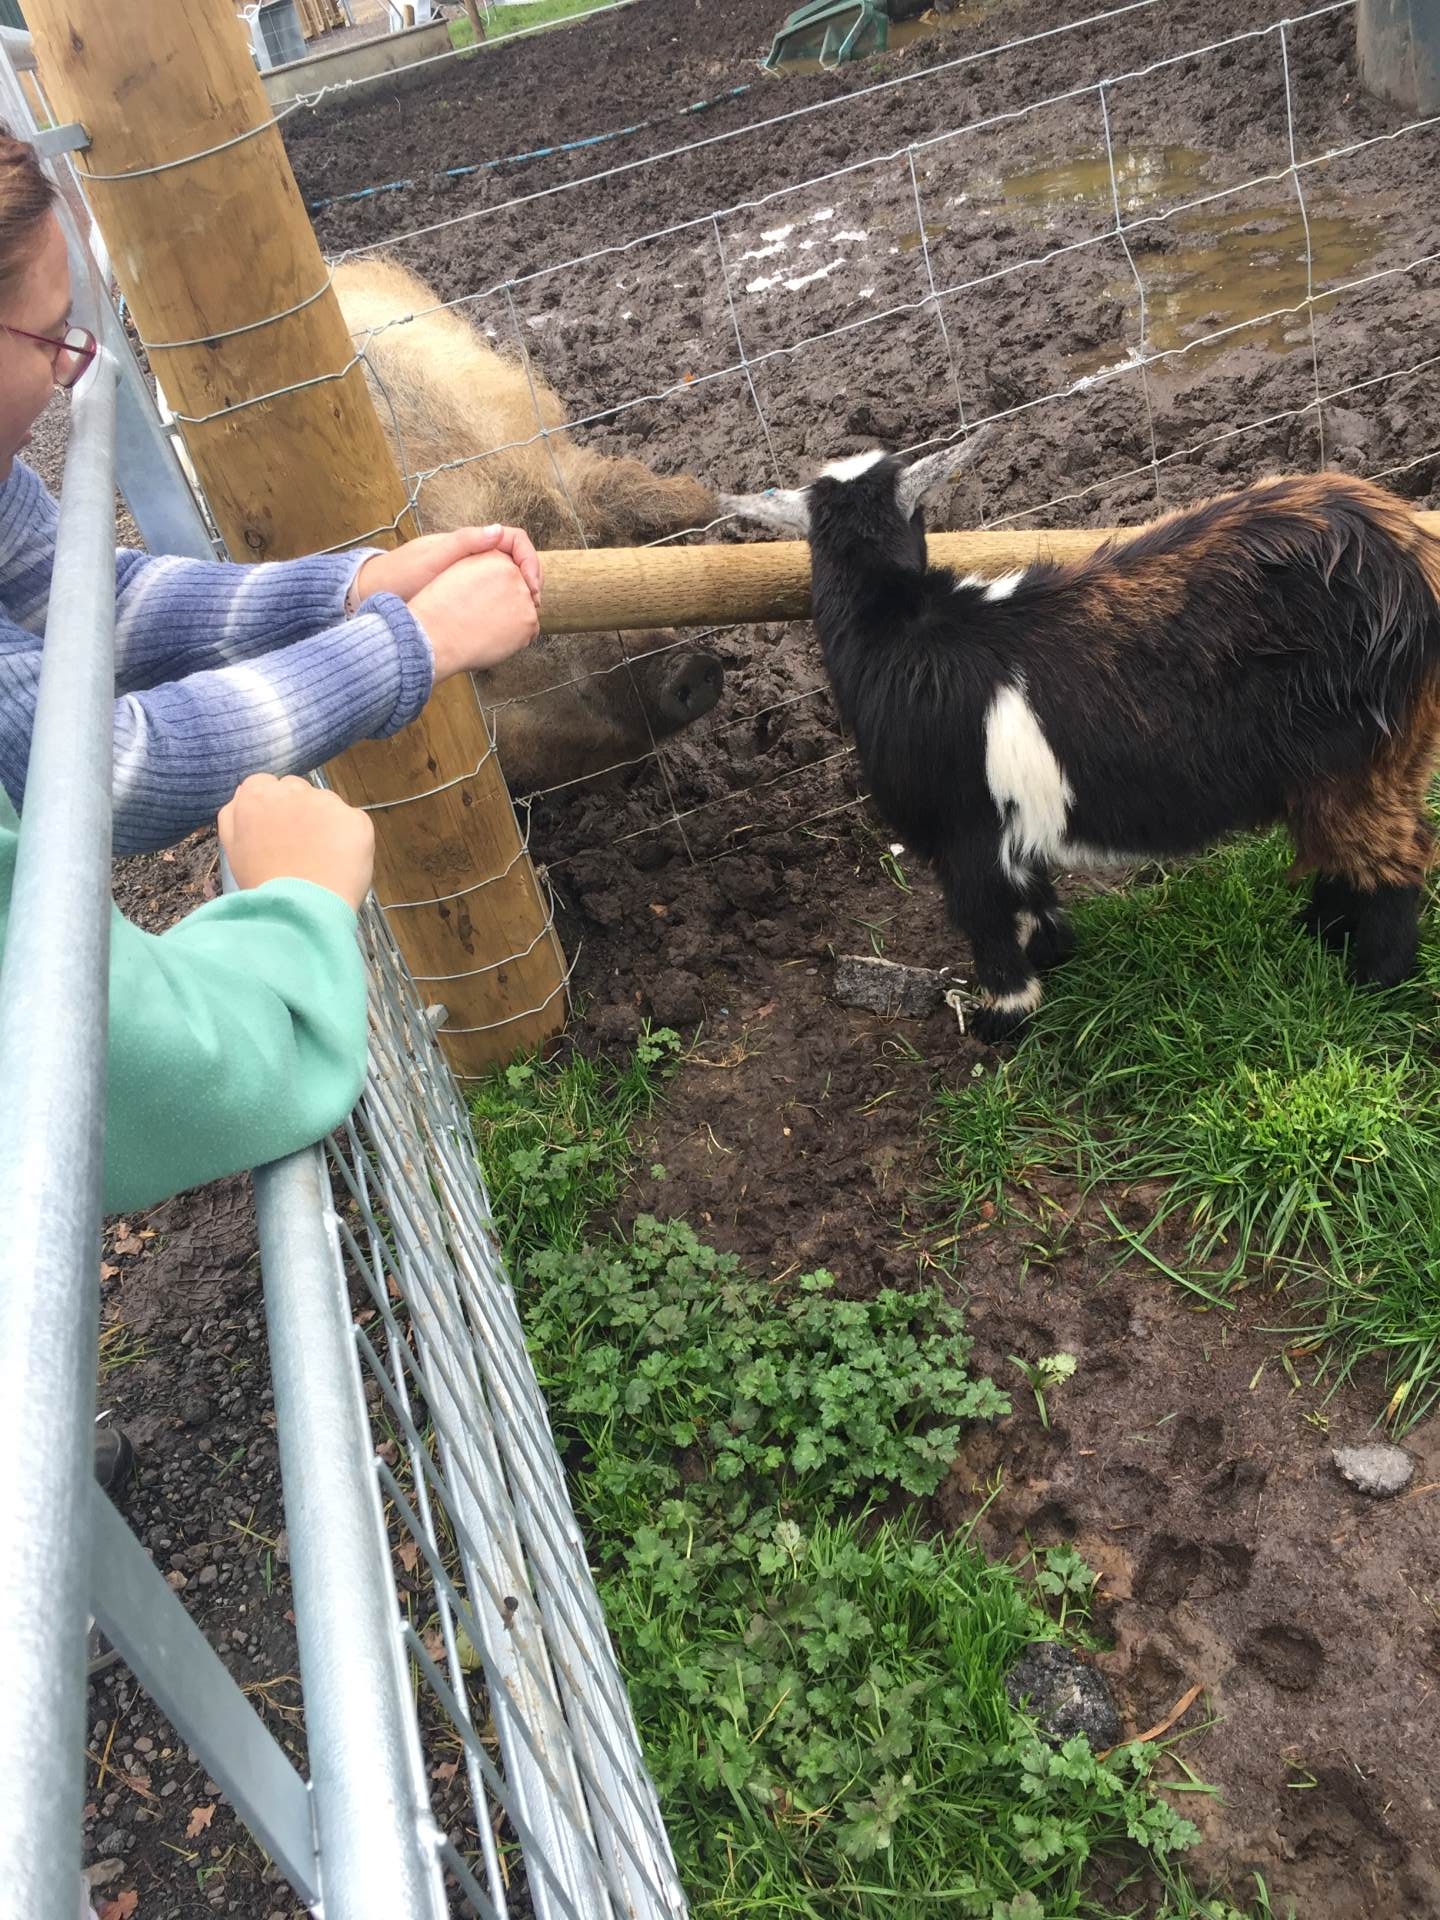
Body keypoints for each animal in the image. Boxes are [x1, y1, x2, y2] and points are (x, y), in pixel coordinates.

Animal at [721, 440, 1440, 1041]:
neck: (901, 635)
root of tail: (1410, 559)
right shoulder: (1008, 820)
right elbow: (1031, 890)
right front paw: (1053, 951)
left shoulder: (962, 829)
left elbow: (983, 913)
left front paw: (1004, 1016)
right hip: (1356, 765)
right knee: (1348, 846)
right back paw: (1319, 932)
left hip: (1364, 755)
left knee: (1396, 858)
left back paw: (1371, 979)